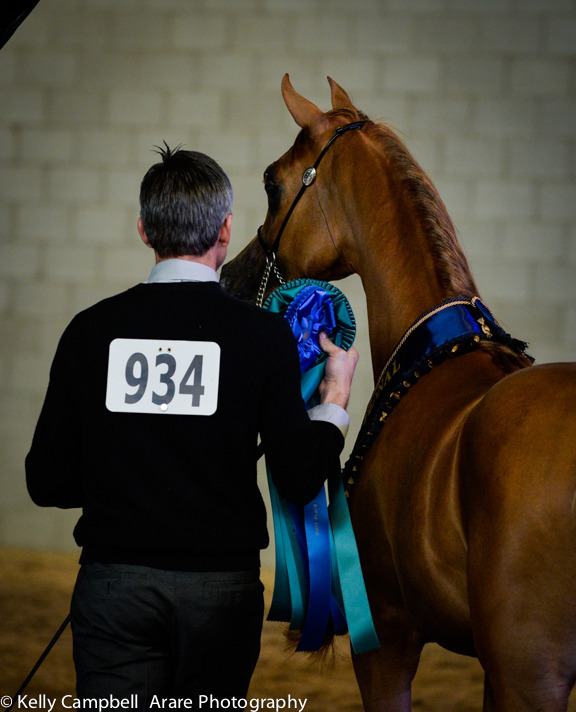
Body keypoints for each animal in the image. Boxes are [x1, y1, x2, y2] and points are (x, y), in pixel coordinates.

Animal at [220, 75, 576, 712]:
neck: (430, 352)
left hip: (529, 671)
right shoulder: (488, 669)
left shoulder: (387, 637)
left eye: (270, 182)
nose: (233, 277)